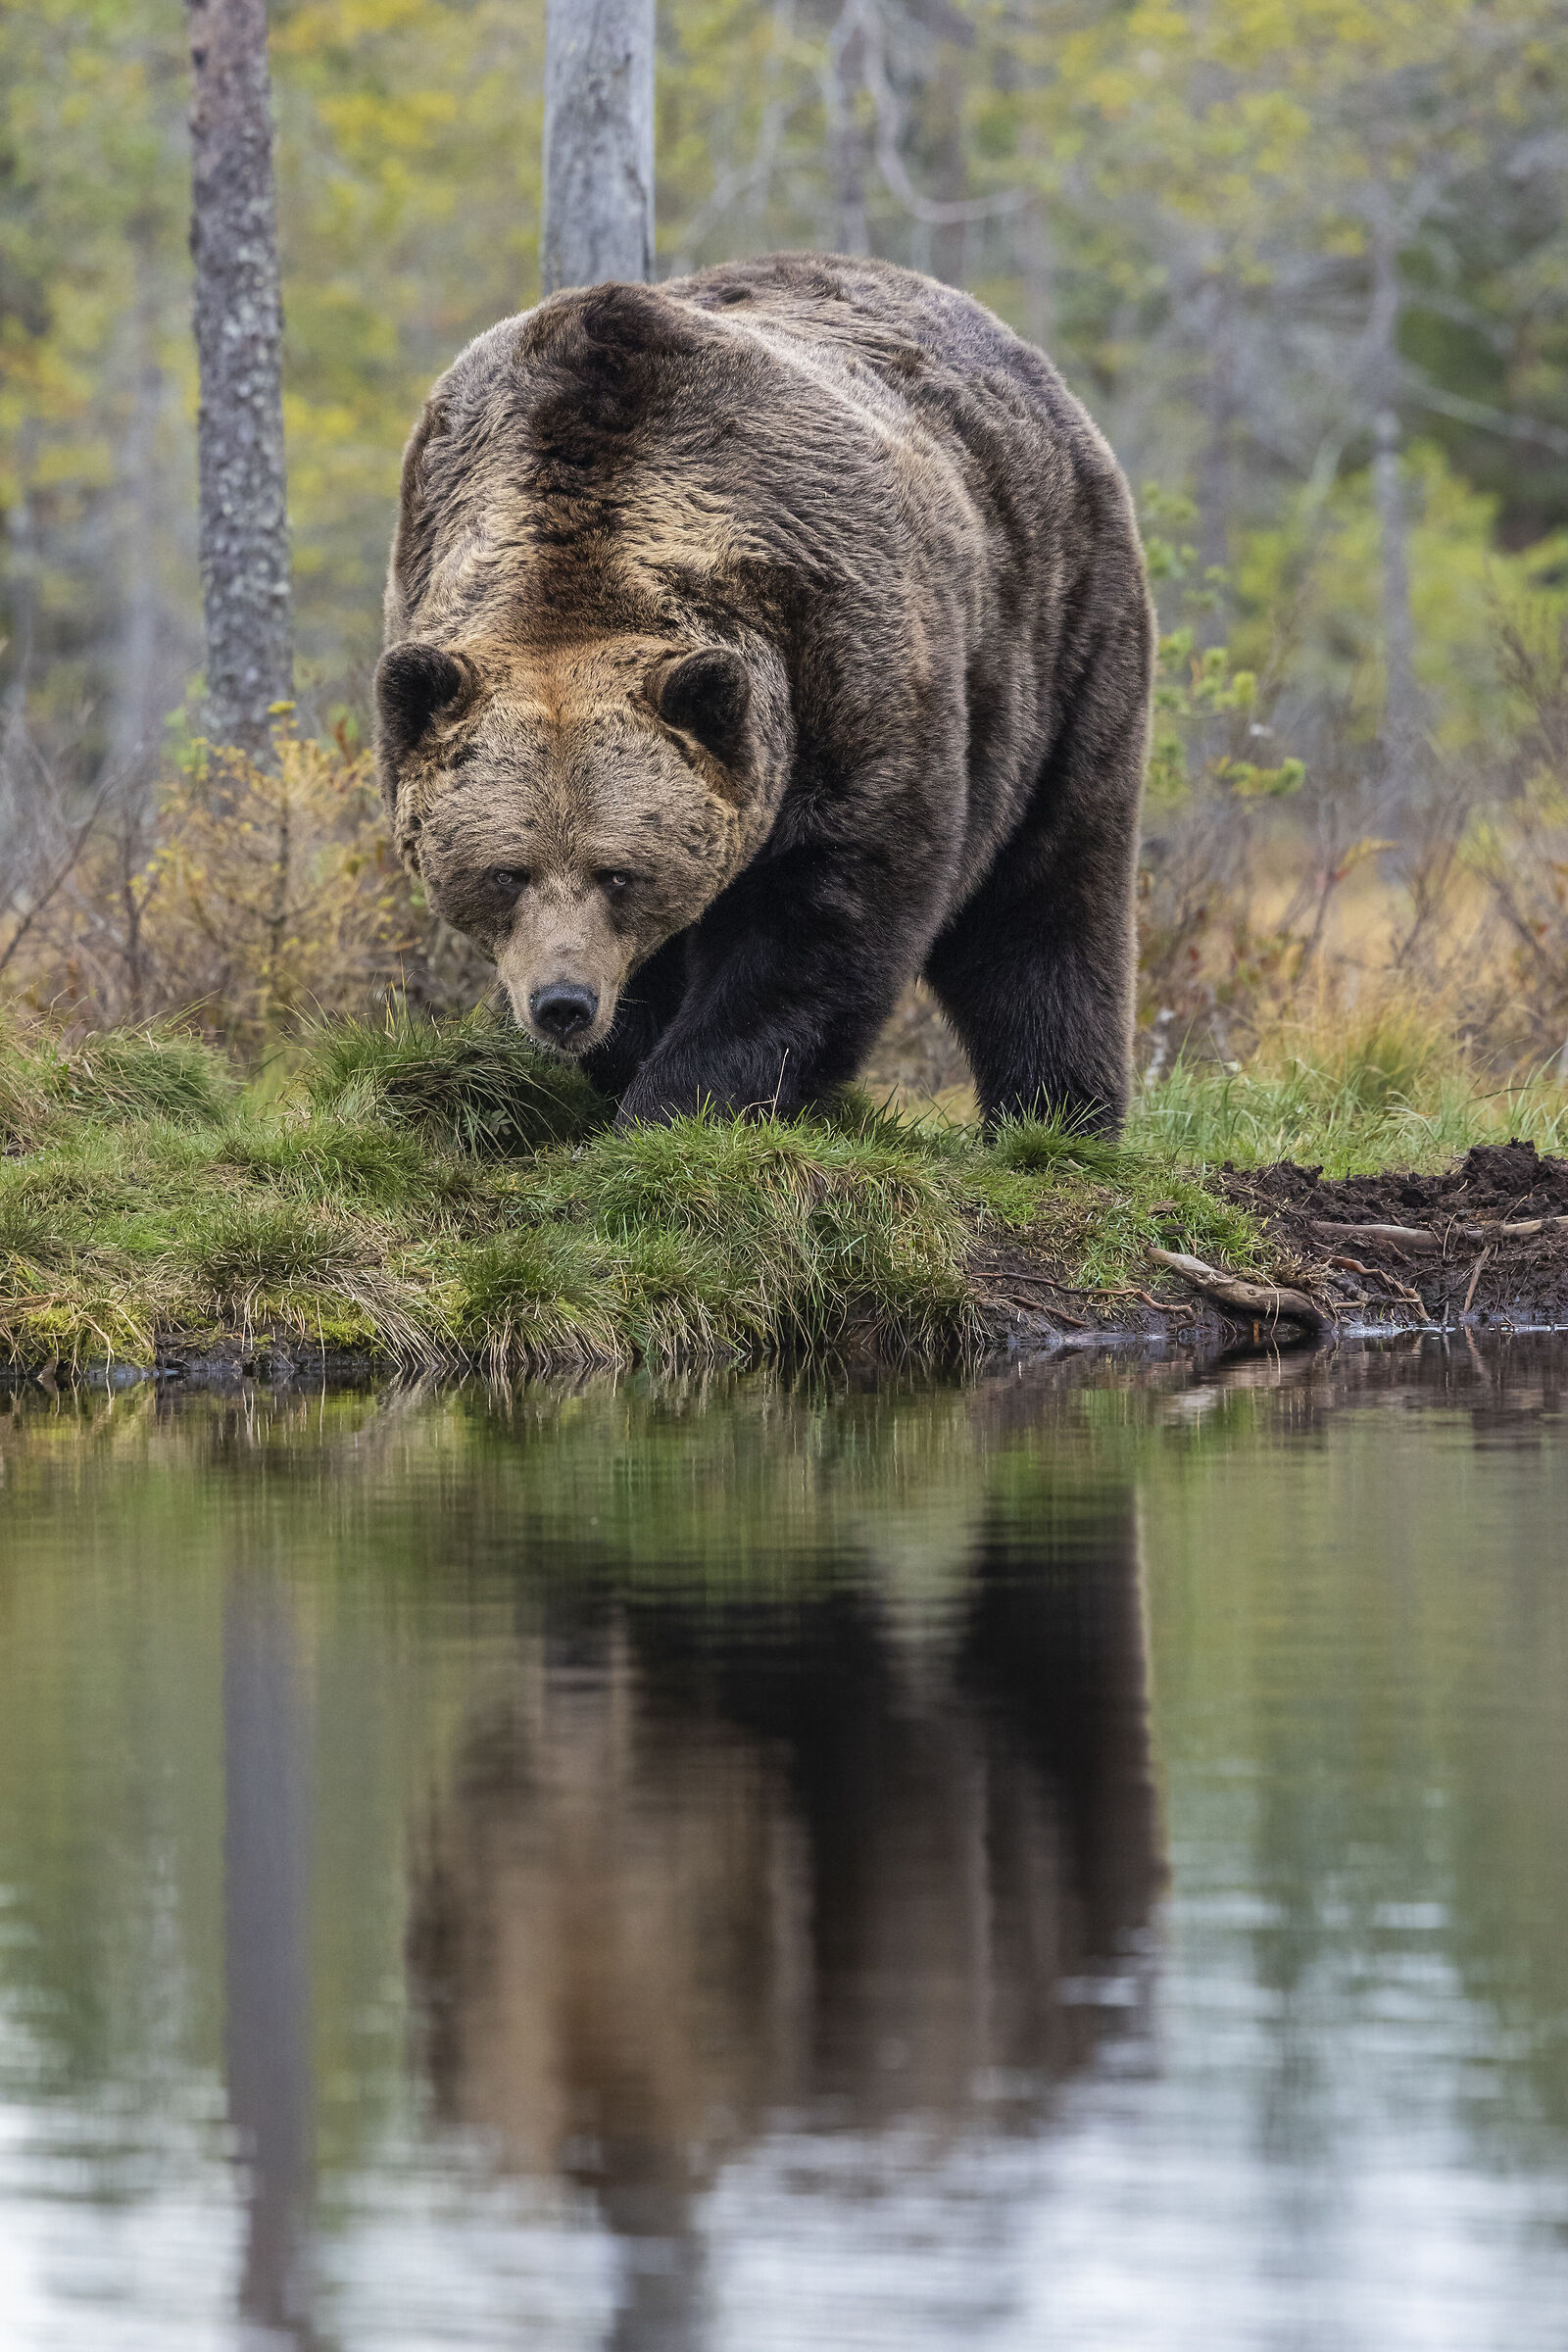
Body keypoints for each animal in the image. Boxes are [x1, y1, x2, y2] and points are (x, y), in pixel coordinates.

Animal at [376, 252, 1152, 1130]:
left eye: (619, 873)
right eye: (506, 871)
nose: (563, 1002)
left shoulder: (836, 666)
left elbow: (820, 922)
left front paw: (677, 1102)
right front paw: (628, 1060)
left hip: (1058, 639)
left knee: (1047, 896)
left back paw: (1058, 1114)